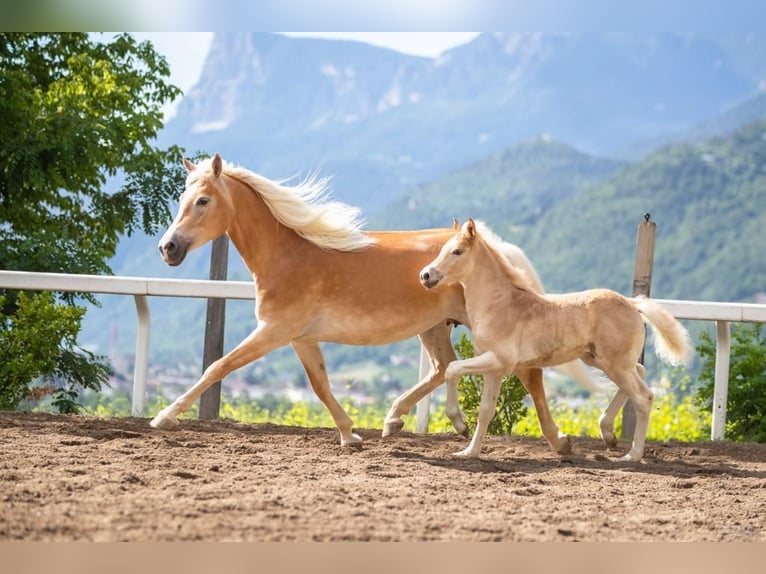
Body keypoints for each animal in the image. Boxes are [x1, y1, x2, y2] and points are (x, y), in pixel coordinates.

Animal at [153, 155, 600, 452]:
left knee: (526, 376)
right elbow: (320, 384)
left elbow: (217, 367)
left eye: (203, 201)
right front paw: (350, 433)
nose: (168, 248)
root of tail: (495, 244)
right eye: (182, 198)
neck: (287, 255)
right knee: (443, 368)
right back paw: (403, 420)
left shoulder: (274, 331)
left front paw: (164, 417)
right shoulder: (300, 338)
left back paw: (558, 441)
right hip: (436, 326)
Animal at [420, 219, 696, 464]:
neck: (499, 304)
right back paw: (608, 432)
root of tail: (632, 303)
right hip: (600, 360)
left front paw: (458, 423)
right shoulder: (494, 368)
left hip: (614, 364)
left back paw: (632, 455)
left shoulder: (500, 360)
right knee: (639, 371)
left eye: (457, 251)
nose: (425, 275)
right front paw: (469, 452)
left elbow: (452, 369)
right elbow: (486, 410)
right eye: (442, 250)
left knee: (644, 397)